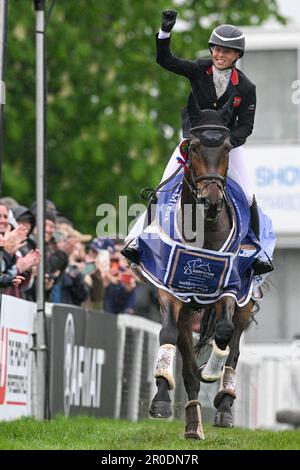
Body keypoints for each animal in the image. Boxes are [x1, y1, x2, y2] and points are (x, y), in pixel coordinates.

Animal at [146, 103, 256, 440]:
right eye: (192, 147)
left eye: (227, 147)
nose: (210, 201)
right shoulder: (170, 290)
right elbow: (169, 335)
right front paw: (161, 398)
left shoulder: (231, 286)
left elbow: (223, 332)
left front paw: (212, 372)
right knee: (188, 365)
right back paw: (194, 422)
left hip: (246, 303)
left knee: (233, 346)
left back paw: (224, 404)